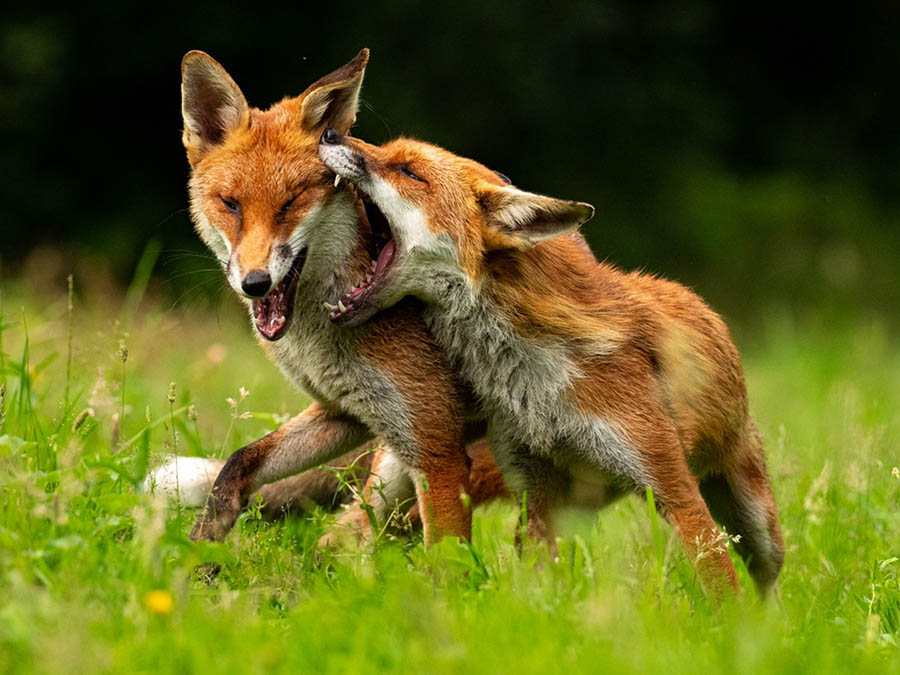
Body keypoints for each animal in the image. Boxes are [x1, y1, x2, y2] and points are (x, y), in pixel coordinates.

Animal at [318, 132, 785, 596]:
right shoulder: (535, 487)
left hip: (755, 524)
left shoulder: (671, 484)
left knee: (766, 579)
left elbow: (722, 587)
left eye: (410, 171)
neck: (535, 381)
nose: (330, 134)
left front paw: (733, 621)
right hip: (405, 477)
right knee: (345, 534)